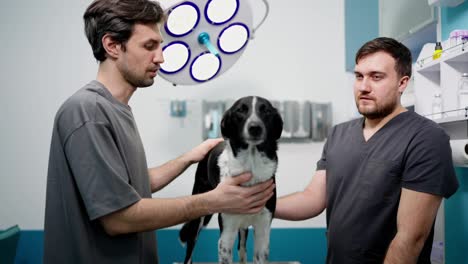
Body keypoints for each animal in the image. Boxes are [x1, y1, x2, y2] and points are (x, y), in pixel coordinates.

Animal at [178, 96, 282, 262]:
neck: (251, 164)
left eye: (266, 110)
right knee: (189, 254)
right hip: (197, 219)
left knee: (242, 249)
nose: (255, 127)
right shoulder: (226, 235)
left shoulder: (263, 231)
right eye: (240, 110)